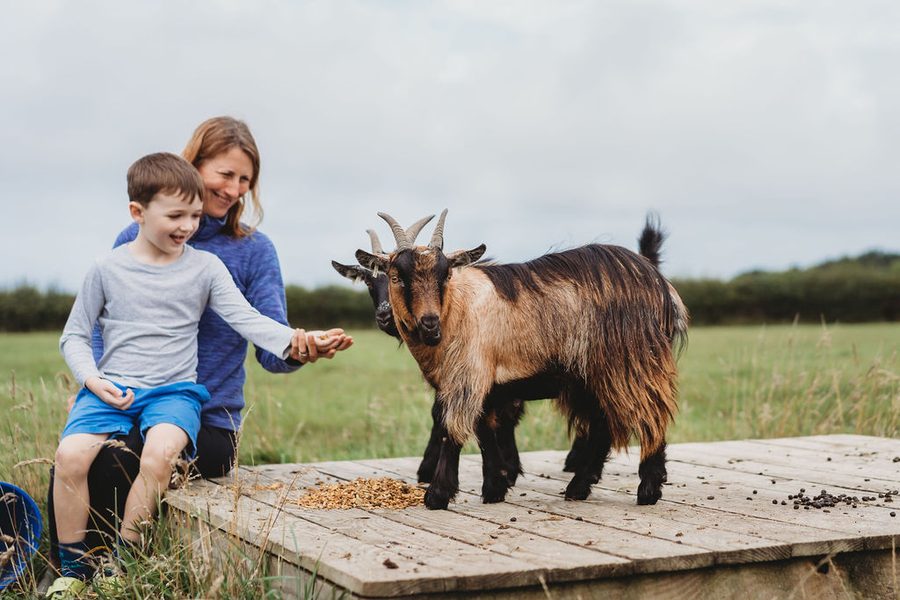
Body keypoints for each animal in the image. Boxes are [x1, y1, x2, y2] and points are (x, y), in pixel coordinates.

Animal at [357, 210, 688, 510]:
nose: (429, 323)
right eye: (397, 277)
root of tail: (661, 285)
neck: (455, 308)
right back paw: (579, 487)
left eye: (445, 275)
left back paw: (647, 490)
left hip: (630, 360)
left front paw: (437, 495)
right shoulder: (486, 383)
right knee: (604, 424)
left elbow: (452, 429)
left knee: (651, 414)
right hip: (592, 374)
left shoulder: (467, 376)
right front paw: (495, 487)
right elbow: (485, 432)